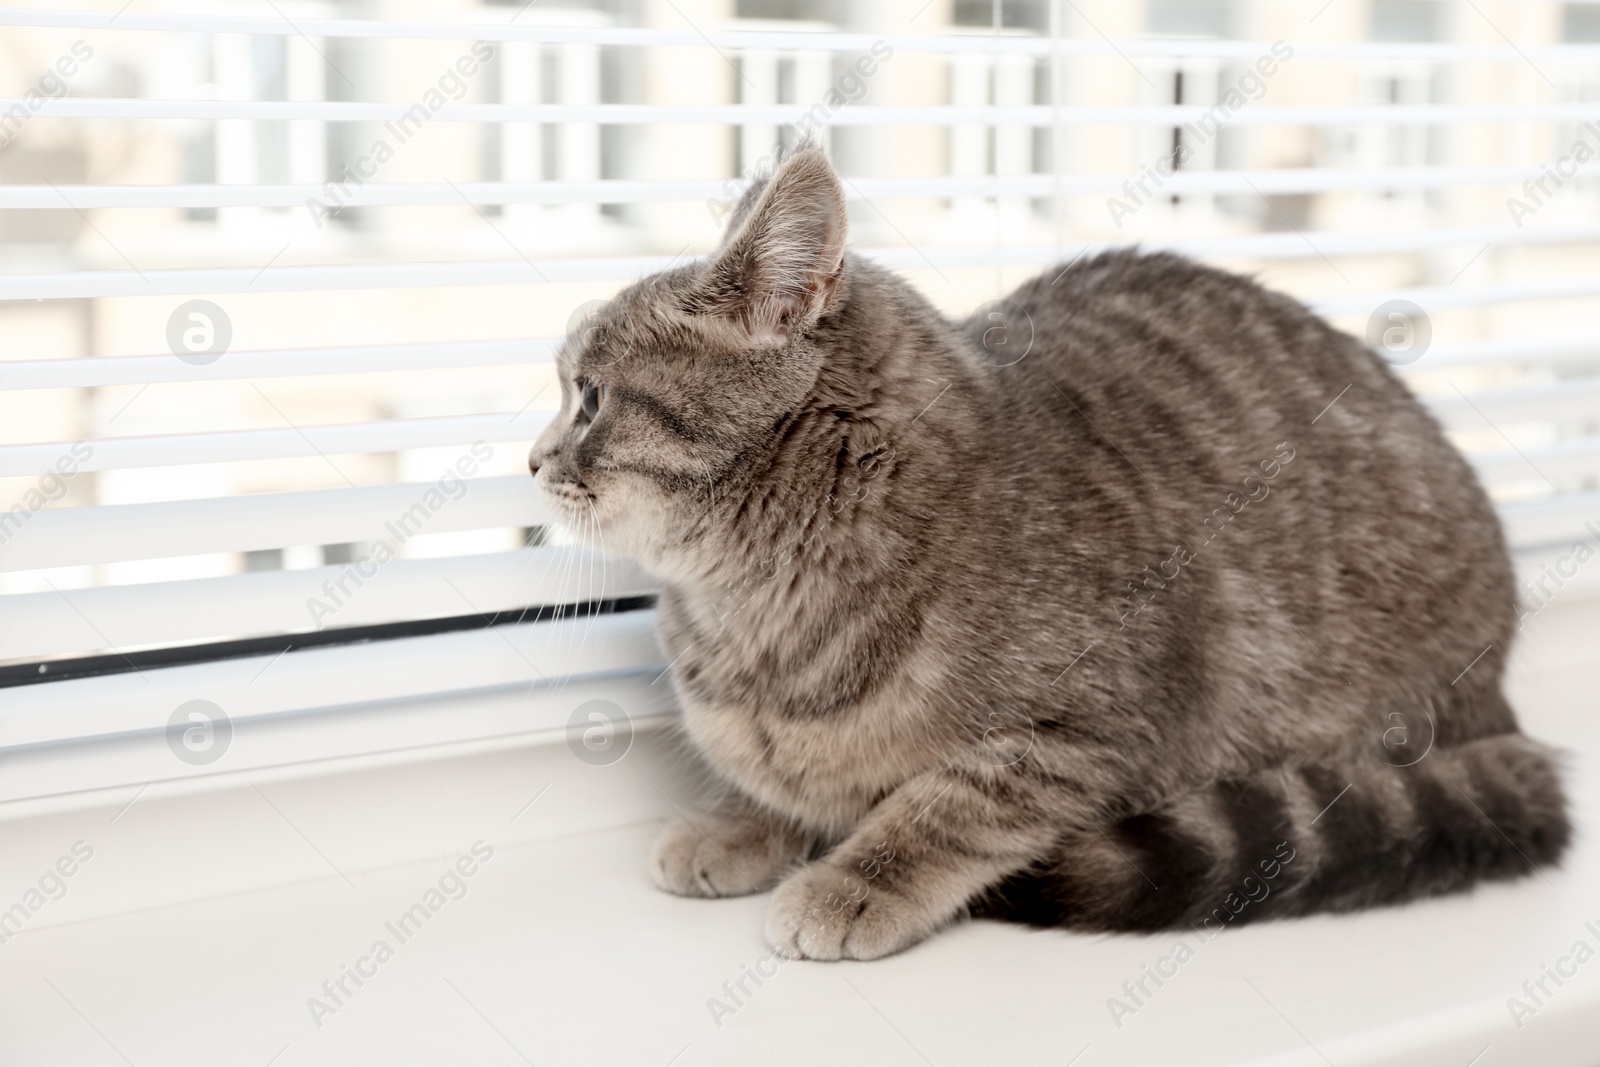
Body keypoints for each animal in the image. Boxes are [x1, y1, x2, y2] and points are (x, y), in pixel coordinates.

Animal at [524, 143, 1561, 959]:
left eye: (589, 397)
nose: (530, 459)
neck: (758, 608)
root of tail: (1499, 690)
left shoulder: (1094, 728)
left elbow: (950, 804)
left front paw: (855, 879)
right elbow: (780, 776)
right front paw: (743, 823)